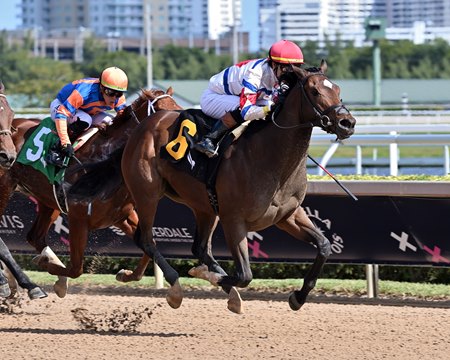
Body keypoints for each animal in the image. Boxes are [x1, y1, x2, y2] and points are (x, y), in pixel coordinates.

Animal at [0, 87, 183, 298]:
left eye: (179, 109)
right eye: (162, 112)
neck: (104, 163)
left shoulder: (121, 216)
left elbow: (148, 244)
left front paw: (126, 274)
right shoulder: (78, 219)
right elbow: (76, 269)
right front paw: (41, 264)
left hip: (48, 200)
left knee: (35, 236)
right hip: (6, 187)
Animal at [70, 59, 356, 312]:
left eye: (338, 89)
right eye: (315, 90)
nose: (348, 123)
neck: (269, 157)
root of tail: (140, 129)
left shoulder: (288, 214)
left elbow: (324, 246)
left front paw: (298, 296)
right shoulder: (234, 220)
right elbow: (244, 274)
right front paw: (205, 275)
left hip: (204, 206)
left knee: (198, 247)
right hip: (147, 193)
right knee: (147, 238)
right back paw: (176, 288)